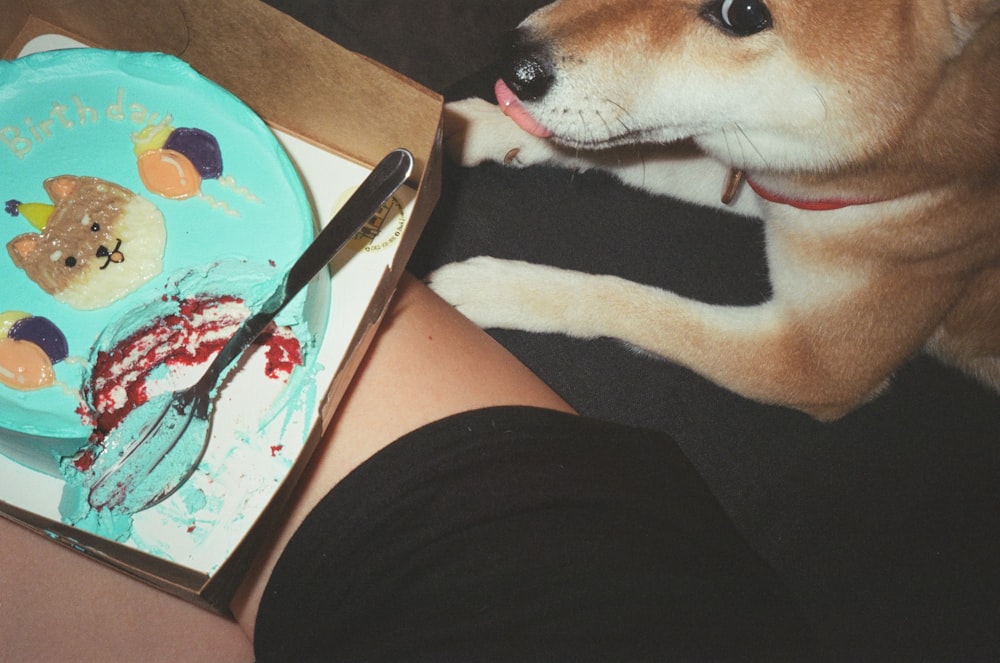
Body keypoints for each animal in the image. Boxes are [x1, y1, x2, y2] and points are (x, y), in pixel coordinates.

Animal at [430, 0, 1000, 420]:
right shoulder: (774, 184)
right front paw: (473, 128)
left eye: (742, 12)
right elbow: (625, 153)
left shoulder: (819, 365)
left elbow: (635, 304)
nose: (511, 60)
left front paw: (496, 286)